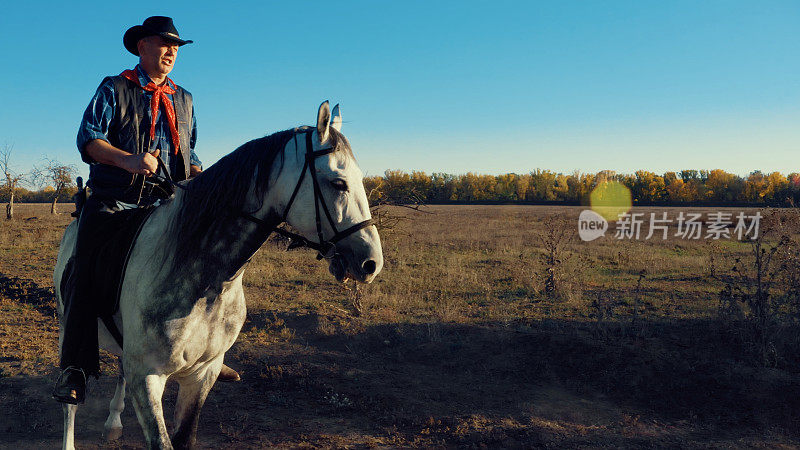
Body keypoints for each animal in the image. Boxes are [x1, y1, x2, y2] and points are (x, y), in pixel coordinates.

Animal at [54, 102, 384, 450]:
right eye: (338, 183)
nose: (371, 262)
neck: (207, 282)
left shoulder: (202, 375)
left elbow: (185, 437)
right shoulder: (147, 378)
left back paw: (114, 421)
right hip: (67, 326)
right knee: (70, 400)